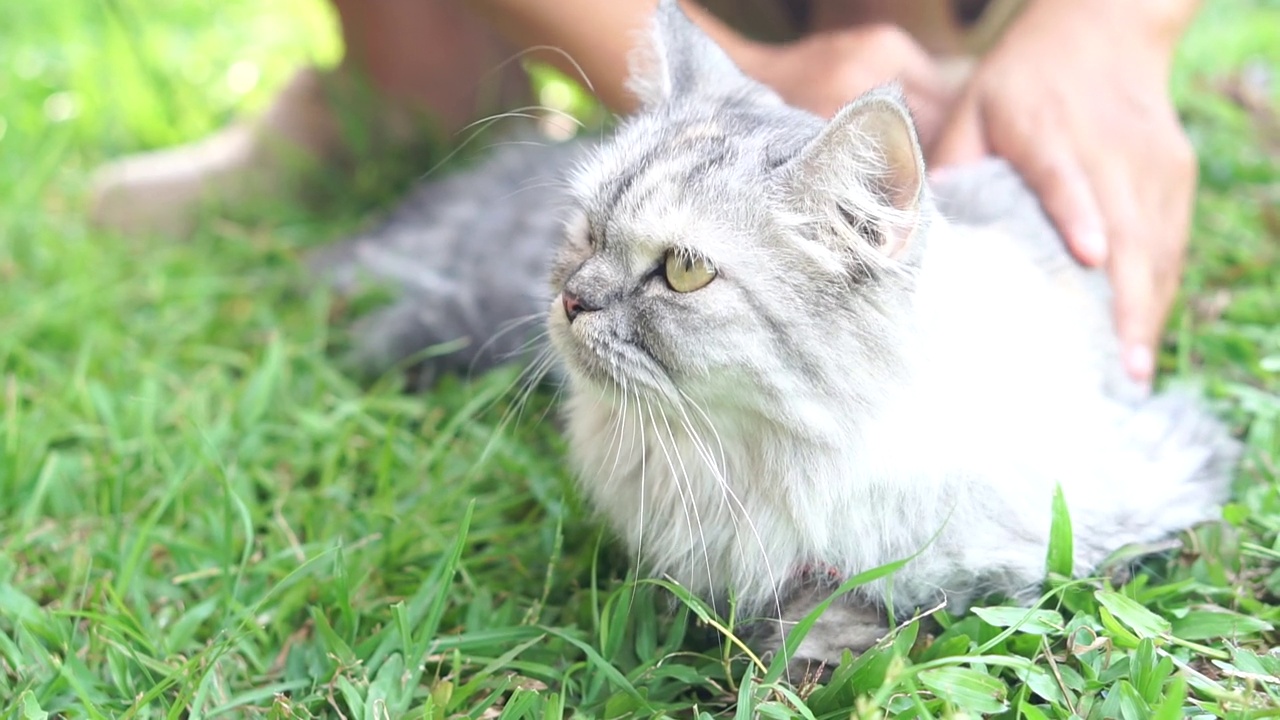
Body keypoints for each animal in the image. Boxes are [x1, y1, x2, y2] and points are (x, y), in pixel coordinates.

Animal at [304, 1, 1233, 671]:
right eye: (589, 231)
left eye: (683, 271)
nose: (571, 301)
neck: (758, 456)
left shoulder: (1118, 506)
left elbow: (908, 598)